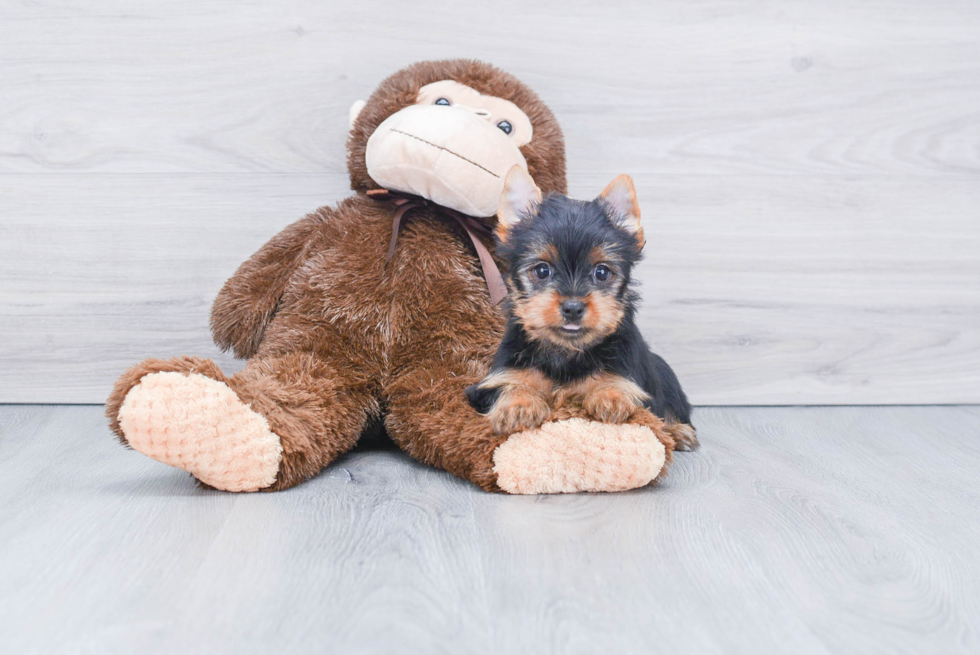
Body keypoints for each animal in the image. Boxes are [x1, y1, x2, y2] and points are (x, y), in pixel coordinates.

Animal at [468, 167, 696, 452]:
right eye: (542, 270)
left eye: (602, 272)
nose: (573, 308)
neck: (567, 351)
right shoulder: (489, 383)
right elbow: (511, 384)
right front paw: (518, 404)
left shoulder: (634, 378)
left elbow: (624, 388)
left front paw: (611, 395)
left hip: (664, 373)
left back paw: (680, 431)